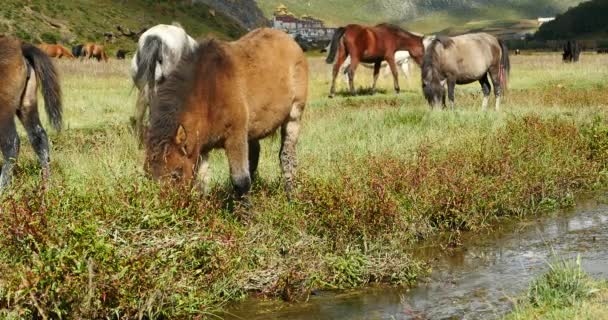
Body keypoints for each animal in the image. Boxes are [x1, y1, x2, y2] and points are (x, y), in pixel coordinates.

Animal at [145, 28, 308, 199]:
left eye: (176, 173)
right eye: (148, 175)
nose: (167, 205)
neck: (210, 91)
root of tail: (290, 40)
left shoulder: (235, 137)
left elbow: (241, 182)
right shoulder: (202, 147)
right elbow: (202, 184)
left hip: (294, 117)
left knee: (287, 157)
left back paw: (291, 195)